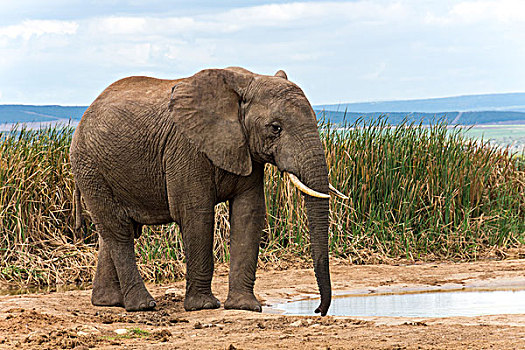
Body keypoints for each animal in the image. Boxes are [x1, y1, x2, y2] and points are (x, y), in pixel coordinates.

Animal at [68, 67, 344, 316]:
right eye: (275, 128)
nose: (318, 310)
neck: (246, 81)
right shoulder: (187, 148)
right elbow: (196, 214)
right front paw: (204, 306)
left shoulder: (246, 151)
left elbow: (249, 213)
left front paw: (245, 307)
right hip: (90, 167)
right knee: (119, 231)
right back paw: (142, 306)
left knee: (112, 232)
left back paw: (109, 302)